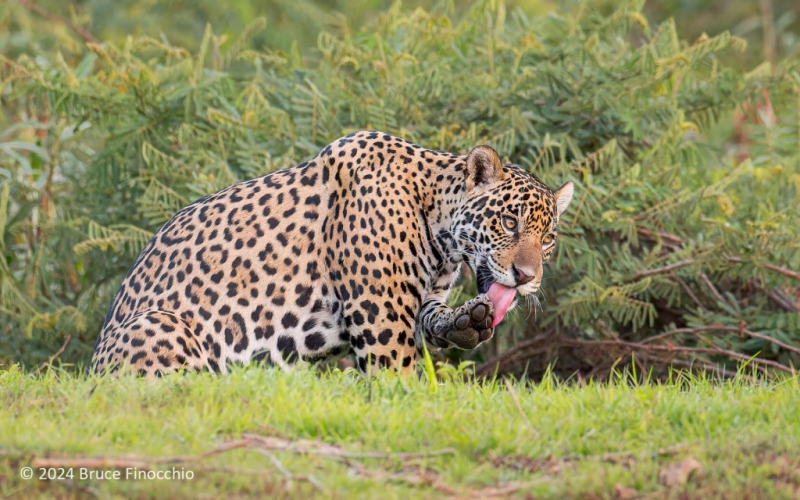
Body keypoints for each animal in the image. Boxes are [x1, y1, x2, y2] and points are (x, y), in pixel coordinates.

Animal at [90, 131, 574, 377]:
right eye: (508, 222)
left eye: (548, 239)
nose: (527, 276)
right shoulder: (380, 311)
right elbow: (396, 373)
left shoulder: (420, 298)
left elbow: (435, 317)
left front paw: (467, 321)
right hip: (160, 324)